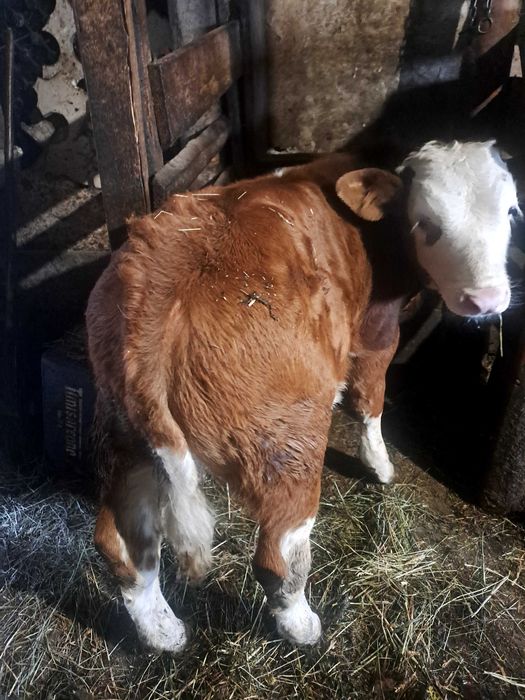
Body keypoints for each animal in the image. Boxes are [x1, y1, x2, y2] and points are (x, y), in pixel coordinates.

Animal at [86, 140, 519, 653]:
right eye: (426, 223)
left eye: (511, 211)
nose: (486, 300)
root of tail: (158, 297)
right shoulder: (376, 332)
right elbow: (369, 400)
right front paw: (381, 466)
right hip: (289, 440)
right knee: (277, 554)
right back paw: (303, 627)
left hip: (123, 431)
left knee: (122, 544)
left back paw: (163, 633)